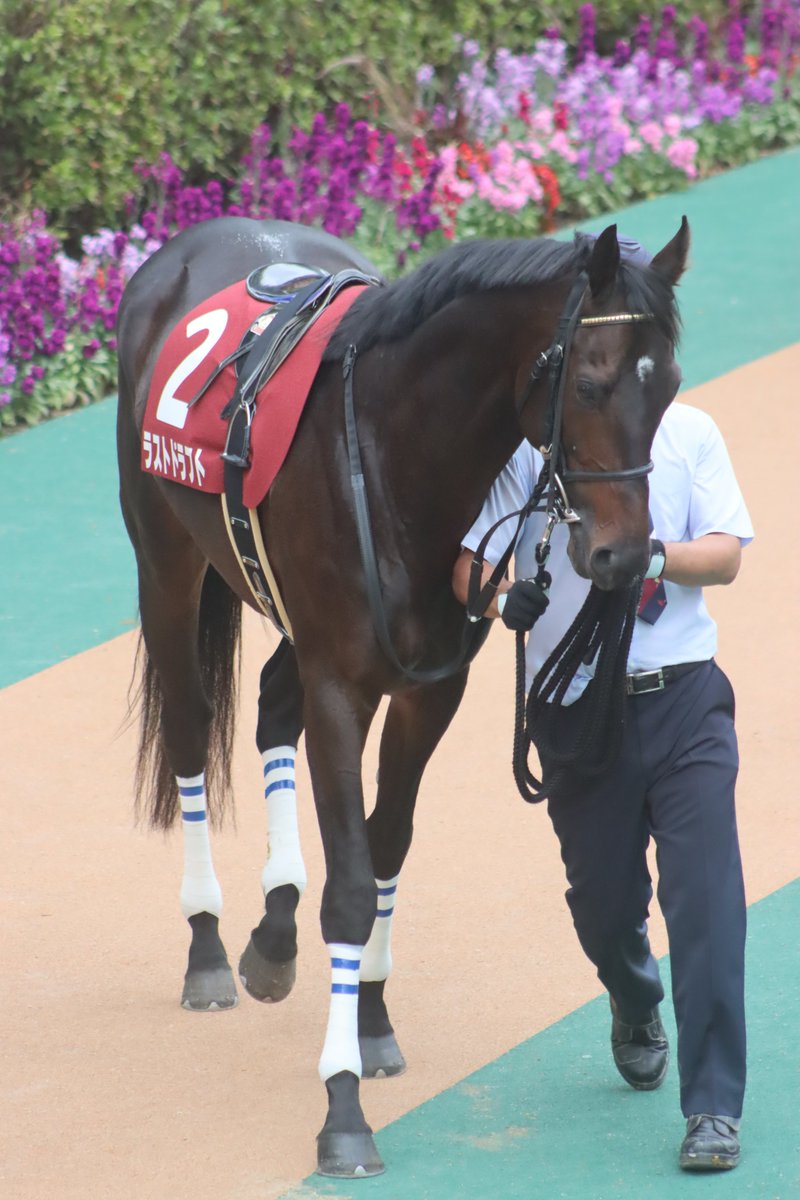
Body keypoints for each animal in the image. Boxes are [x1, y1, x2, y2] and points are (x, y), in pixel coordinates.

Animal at [116, 214, 689, 1178]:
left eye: (672, 384)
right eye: (591, 381)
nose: (620, 556)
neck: (396, 465)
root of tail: (198, 238)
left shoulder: (431, 689)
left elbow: (387, 846)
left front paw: (373, 1019)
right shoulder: (343, 689)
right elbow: (351, 882)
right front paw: (342, 1109)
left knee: (272, 704)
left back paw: (274, 932)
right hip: (166, 561)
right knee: (194, 732)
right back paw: (207, 946)